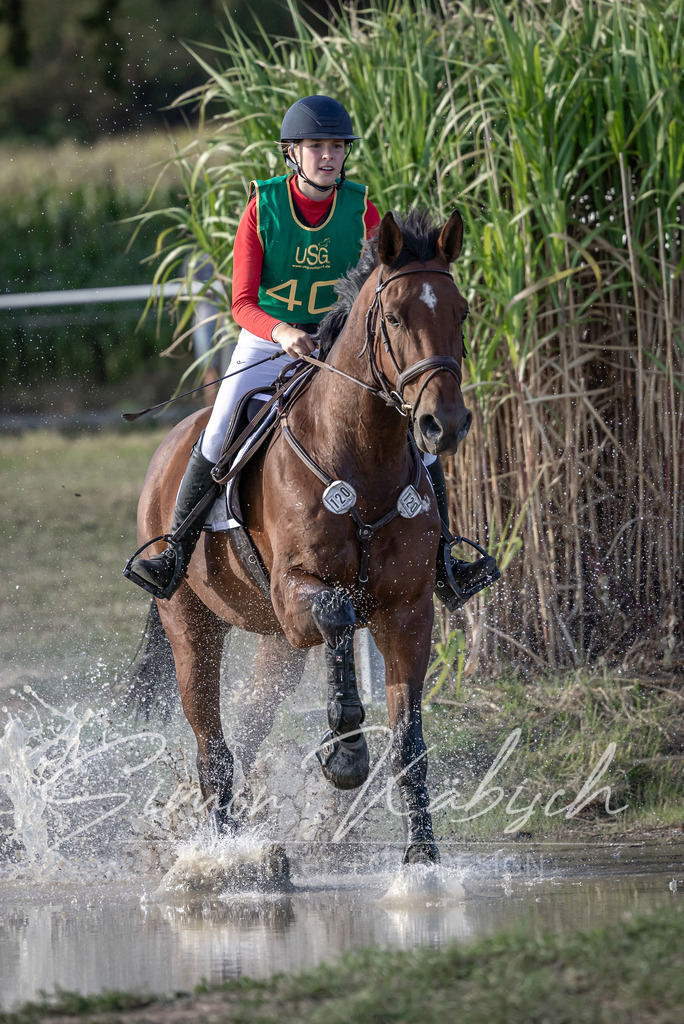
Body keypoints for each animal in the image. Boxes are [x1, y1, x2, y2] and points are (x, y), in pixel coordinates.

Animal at [127, 208, 472, 864]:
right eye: (395, 318)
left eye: (461, 312)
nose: (444, 425)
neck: (361, 460)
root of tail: (166, 451)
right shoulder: (296, 593)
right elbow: (338, 613)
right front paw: (346, 755)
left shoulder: (407, 611)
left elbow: (409, 744)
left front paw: (423, 862)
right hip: (193, 629)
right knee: (213, 747)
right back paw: (226, 854)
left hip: (277, 648)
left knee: (247, 730)